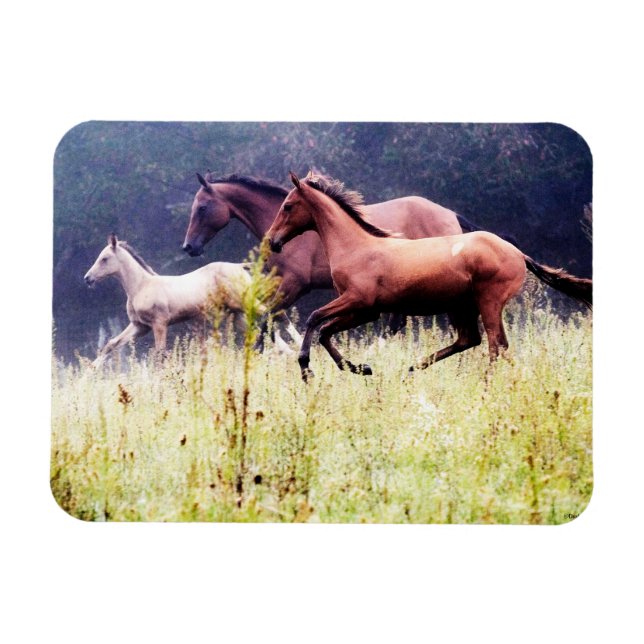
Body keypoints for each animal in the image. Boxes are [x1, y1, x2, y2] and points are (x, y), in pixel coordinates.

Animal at [83, 234, 298, 367]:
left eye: (104, 258)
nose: (87, 278)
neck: (141, 286)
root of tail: (239, 266)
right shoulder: (140, 326)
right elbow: (111, 344)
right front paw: (89, 373)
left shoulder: (159, 324)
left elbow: (160, 354)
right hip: (238, 314)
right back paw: (288, 353)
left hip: (244, 303)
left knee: (277, 314)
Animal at [182, 172, 465, 342]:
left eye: (202, 207)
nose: (188, 247)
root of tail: (451, 214)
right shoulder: (280, 283)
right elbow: (273, 316)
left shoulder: (296, 284)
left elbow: (272, 318)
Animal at [266, 172, 592, 382]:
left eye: (288, 206)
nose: (272, 241)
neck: (356, 246)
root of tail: (518, 253)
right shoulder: (366, 311)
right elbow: (325, 331)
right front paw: (361, 368)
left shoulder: (358, 302)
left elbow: (314, 320)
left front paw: (307, 369)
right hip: (462, 306)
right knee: (471, 340)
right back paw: (410, 369)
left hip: (489, 302)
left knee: (495, 345)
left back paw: (483, 386)